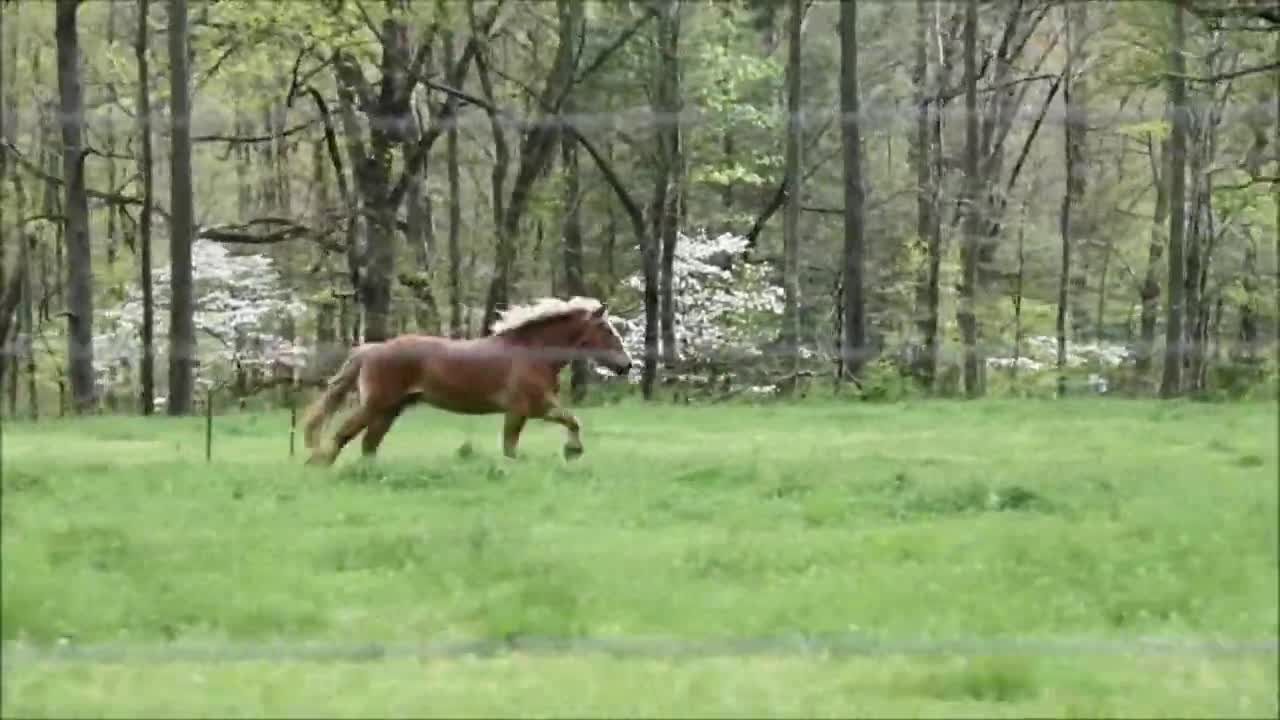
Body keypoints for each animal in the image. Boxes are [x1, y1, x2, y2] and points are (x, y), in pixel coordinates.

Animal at [300, 294, 640, 461]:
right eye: (606, 330)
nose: (627, 365)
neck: (532, 353)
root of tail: (371, 350)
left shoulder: (537, 407)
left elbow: (571, 421)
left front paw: (573, 451)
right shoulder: (523, 409)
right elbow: (512, 446)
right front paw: (571, 451)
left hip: (390, 410)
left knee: (368, 445)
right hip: (377, 405)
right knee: (342, 435)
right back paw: (318, 465)